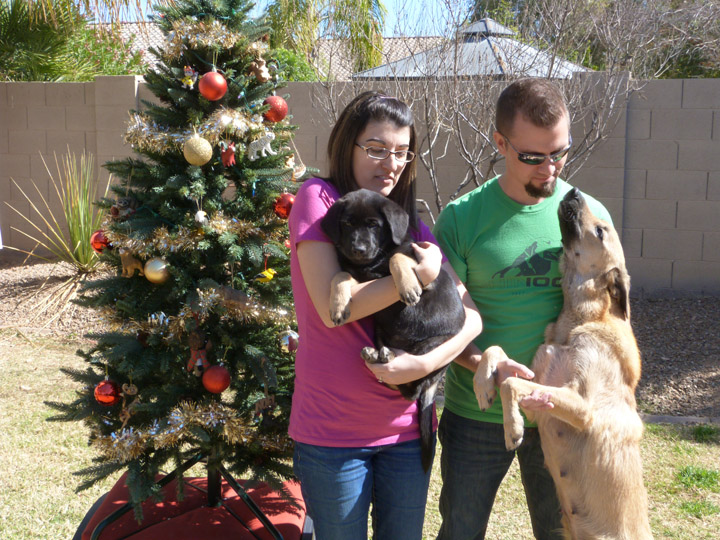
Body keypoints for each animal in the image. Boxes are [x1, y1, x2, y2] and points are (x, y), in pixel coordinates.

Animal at [322, 190, 466, 472]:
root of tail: (435, 381)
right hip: (380, 332)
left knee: (412, 389)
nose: (358, 249)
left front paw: (408, 285)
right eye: (347, 224)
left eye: (374, 225)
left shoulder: (426, 276)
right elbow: (340, 275)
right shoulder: (357, 274)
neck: (372, 263)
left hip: (434, 345)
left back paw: (387, 357)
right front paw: (338, 304)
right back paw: (376, 355)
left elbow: (397, 257)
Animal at [476, 188, 648, 536]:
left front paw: (512, 429)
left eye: (600, 231)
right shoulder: (540, 392)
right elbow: (497, 354)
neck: (576, 323)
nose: (573, 191)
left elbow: (511, 383)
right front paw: (483, 384)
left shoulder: (583, 408)